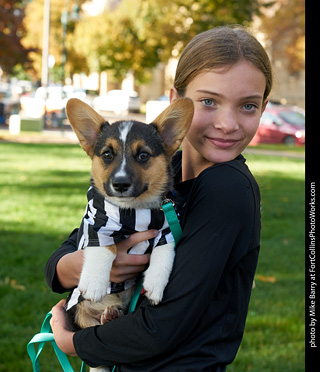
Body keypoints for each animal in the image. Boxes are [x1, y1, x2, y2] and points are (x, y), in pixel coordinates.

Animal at [62, 97, 192, 370]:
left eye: (143, 155)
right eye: (107, 155)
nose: (120, 184)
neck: (134, 211)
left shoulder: (166, 229)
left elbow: (165, 253)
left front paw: (155, 285)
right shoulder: (96, 223)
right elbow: (105, 248)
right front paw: (95, 283)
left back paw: (111, 315)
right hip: (77, 315)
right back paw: (107, 313)